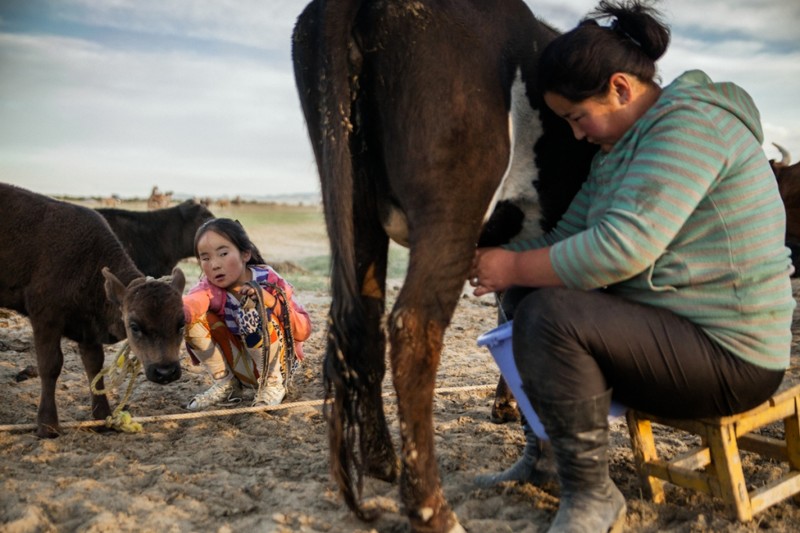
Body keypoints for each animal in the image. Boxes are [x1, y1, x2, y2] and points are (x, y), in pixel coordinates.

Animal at [290, 2, 596, 528]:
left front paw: (508, 405)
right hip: (454, 202)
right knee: (413, 328)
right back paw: (433, 509)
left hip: (354, 202)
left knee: (364, 324)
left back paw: (383, 462)